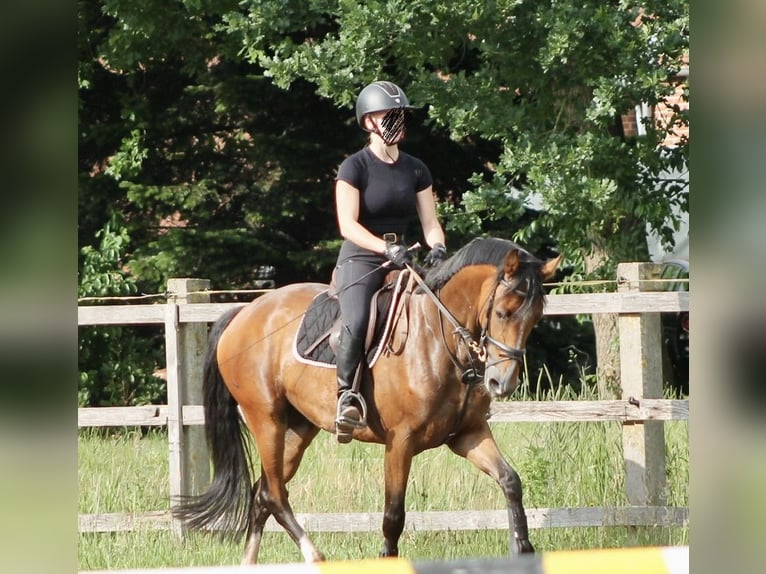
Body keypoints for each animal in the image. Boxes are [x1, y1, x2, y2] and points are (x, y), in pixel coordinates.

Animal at [173, 236, 561, 563]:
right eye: (503, 312)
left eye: (535, 318)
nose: (501, 383)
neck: (440, 338)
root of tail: (243, 313)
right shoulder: (400, 441)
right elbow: (393, 515)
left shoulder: (468, 434)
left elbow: (511, 481)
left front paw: (523, 548)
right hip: (265, 419)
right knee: (276, 495)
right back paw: (316, 556)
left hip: (298, 427)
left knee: (263, 493)